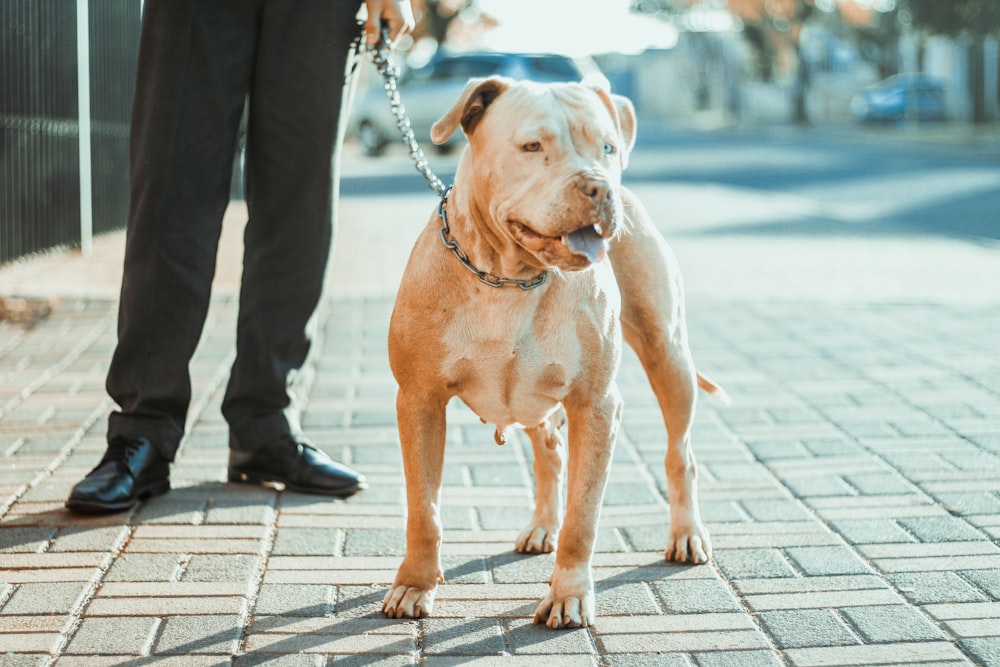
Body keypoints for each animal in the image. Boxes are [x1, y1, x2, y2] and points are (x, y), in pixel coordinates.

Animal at [382, 75, 728, 628]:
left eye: (607, 147)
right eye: (532, 147)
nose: (601, 187)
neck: (508, 277)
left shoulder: (596, 405)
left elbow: (583, 516)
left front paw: (569, 593)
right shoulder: (419, 400)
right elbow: (424, 508)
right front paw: (415, 584)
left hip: (667, 354)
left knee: (681, 453)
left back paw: (686, 533)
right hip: (532, 398)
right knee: (550, 453)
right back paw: (542, 526)